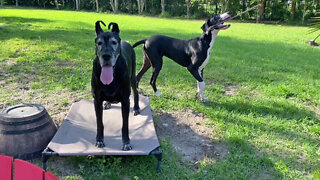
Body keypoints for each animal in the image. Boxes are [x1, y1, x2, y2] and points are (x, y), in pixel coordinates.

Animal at [90, 20, 139, 150]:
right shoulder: (96, 100)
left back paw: (137, 108)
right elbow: (99, 123)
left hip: (132, 78)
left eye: (114, 42)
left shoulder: (125, 101)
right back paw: (107, 102)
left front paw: (126, 142)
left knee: (136, 92)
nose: (106, 56)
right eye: (99, 43)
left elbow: (125, 125)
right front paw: (99, 140)